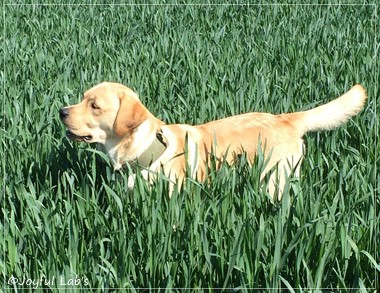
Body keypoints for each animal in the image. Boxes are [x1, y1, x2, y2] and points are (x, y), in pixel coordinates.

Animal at [58, 81, 366, 197]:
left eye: (95, 106)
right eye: (83, 98)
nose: (62, 112)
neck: (148, 150)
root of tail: (285, 118)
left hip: (275, 179)